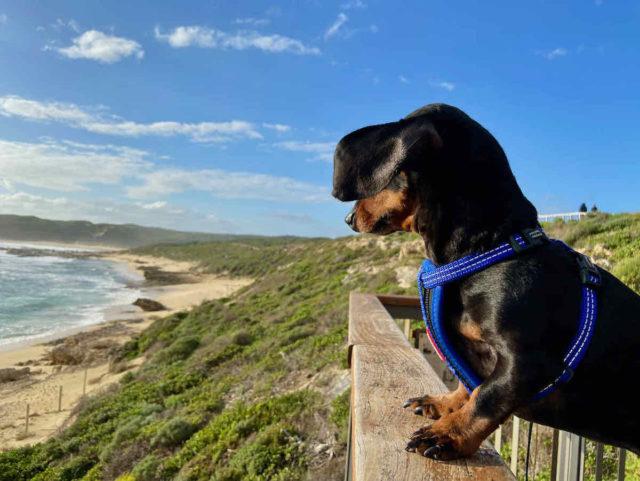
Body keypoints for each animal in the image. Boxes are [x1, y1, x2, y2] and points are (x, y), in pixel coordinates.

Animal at [332, 103, 640, 460]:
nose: (348, 219)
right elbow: (470, 384)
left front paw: (447, 434)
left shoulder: (527, 363)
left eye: (393, 174)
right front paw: (443, 404)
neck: (492, 248)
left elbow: (486, 399)